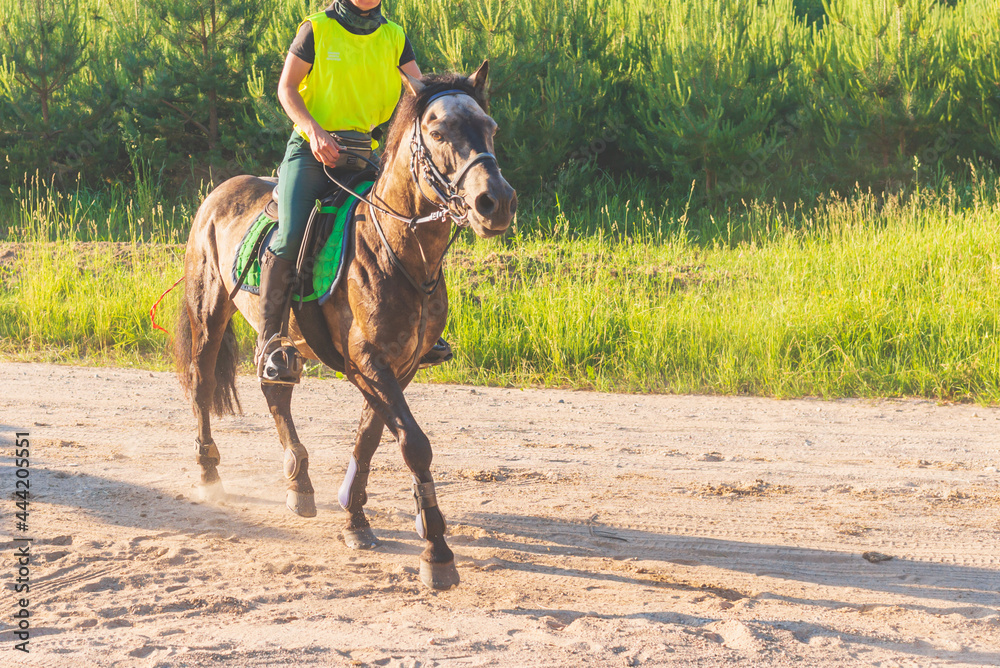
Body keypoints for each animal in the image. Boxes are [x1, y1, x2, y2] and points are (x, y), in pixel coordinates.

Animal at [172, 61, 517, 590]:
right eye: (438, 132)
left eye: (491, 128)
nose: (494, 202)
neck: (398, 252)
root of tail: (219, 192)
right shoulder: (368, 361)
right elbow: (414, 444)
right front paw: (436, 552)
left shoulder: (399, 365)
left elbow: (370, 437)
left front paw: (354, 518)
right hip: (209, 313)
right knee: (203, 382)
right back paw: (209, 473)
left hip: (283, 341)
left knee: (275, 389)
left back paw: (299, 483)